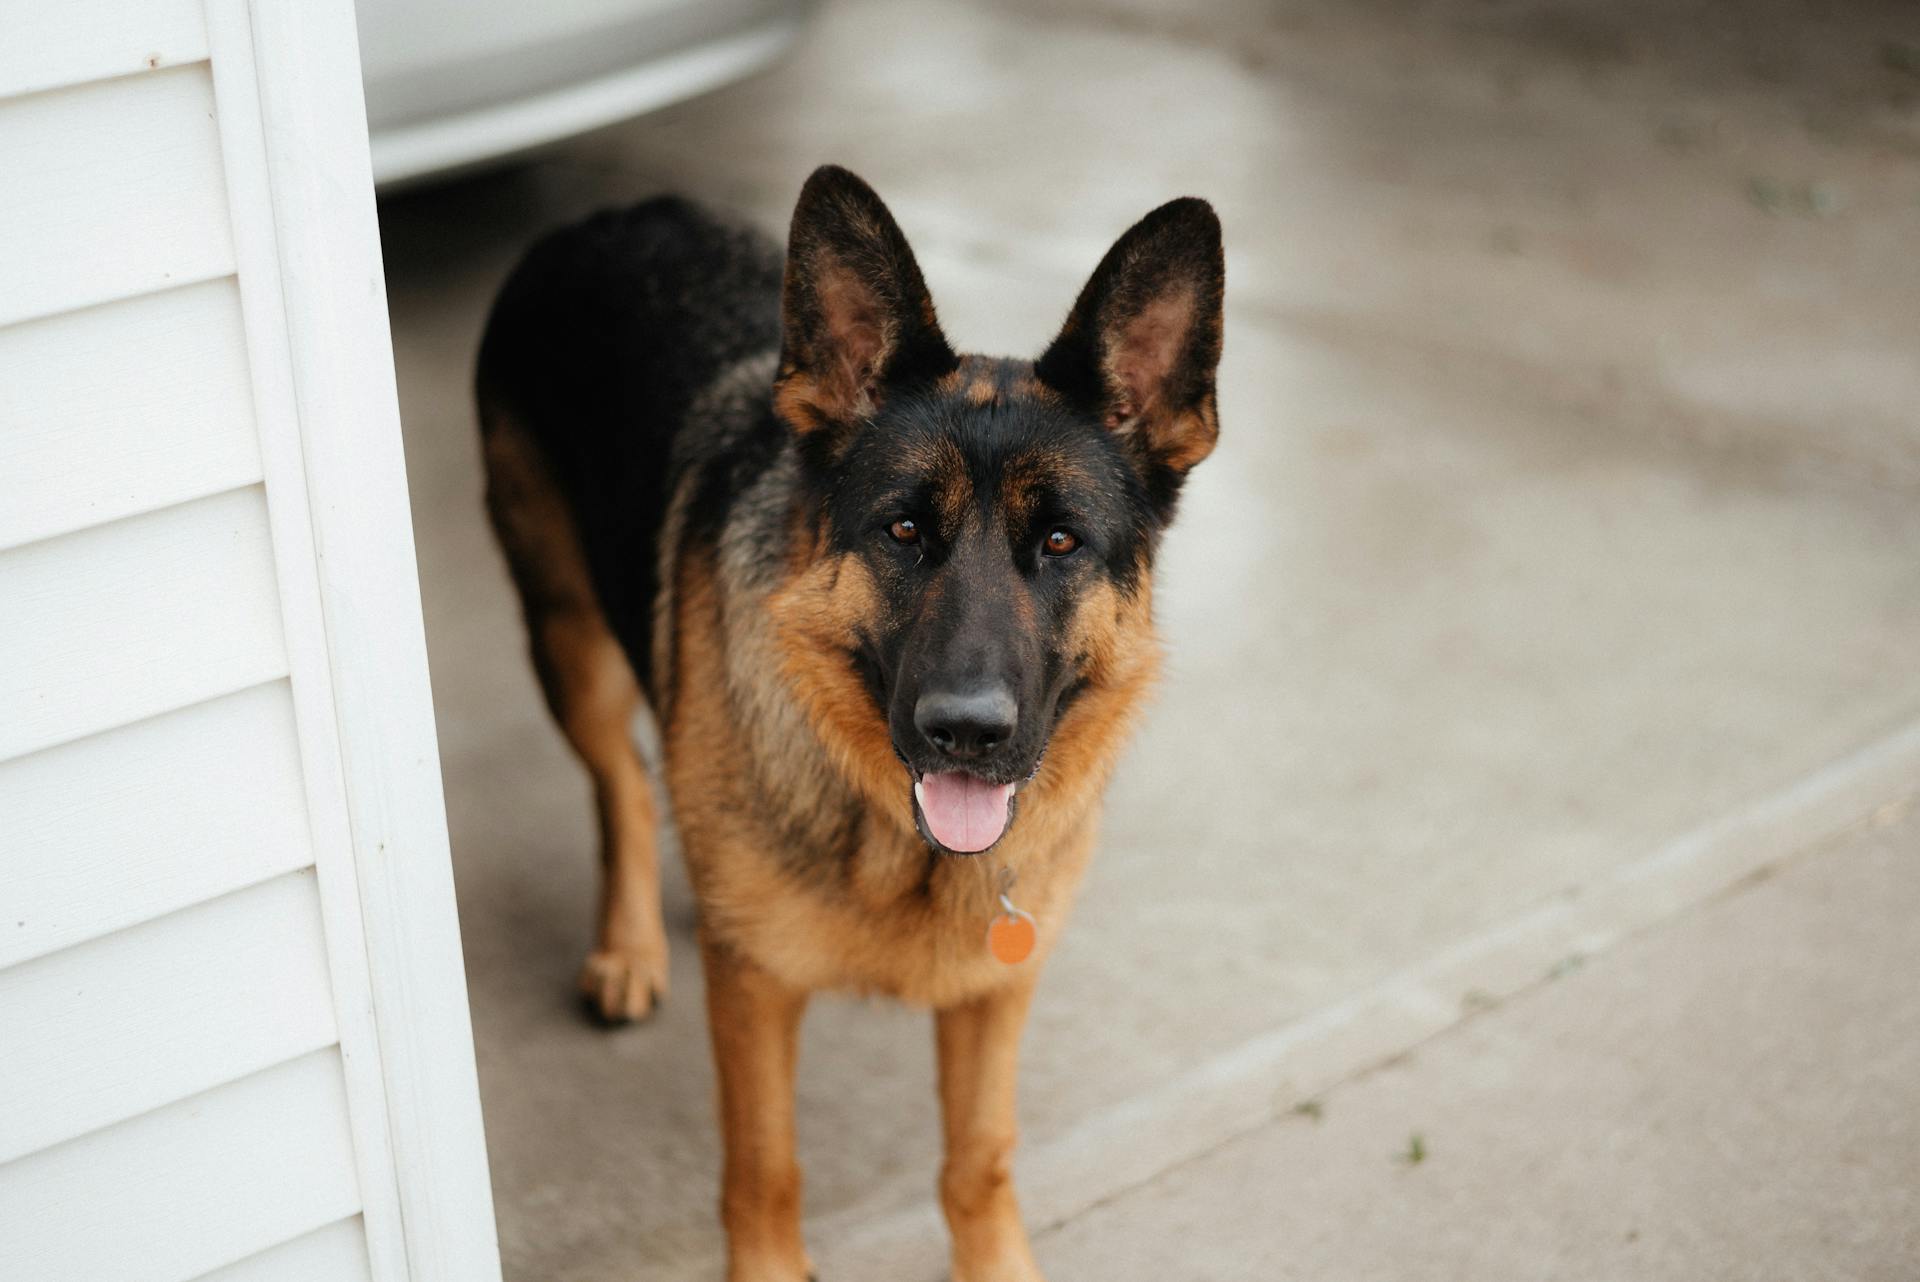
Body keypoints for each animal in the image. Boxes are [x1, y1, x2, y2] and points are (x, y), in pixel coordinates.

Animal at [480, 165, 1228, 1274]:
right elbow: (763, 1168)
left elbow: (979, 1159)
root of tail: (619, 211)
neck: (895, 842)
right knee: (621, 780)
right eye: (903, 530)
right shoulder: (756, 998)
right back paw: (631, 946)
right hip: (569, 638)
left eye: (1061, 541)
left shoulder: (995, 994)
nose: (967, 731)